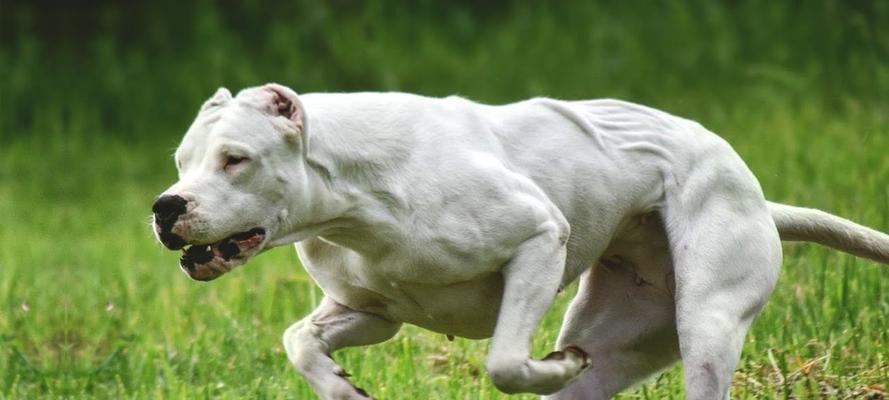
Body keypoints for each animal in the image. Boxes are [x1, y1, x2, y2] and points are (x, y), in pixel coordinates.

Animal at [154, 83, 888, 398]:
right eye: (180, 162)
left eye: (235, 159)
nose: (165, 207)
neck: (350, 191)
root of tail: (759, 199)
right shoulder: (370, 312)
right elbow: (298, 341)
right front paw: (339, 387)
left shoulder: (538, 239)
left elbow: (506, 361)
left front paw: (549, 364)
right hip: (628, 337)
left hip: (706, 322)